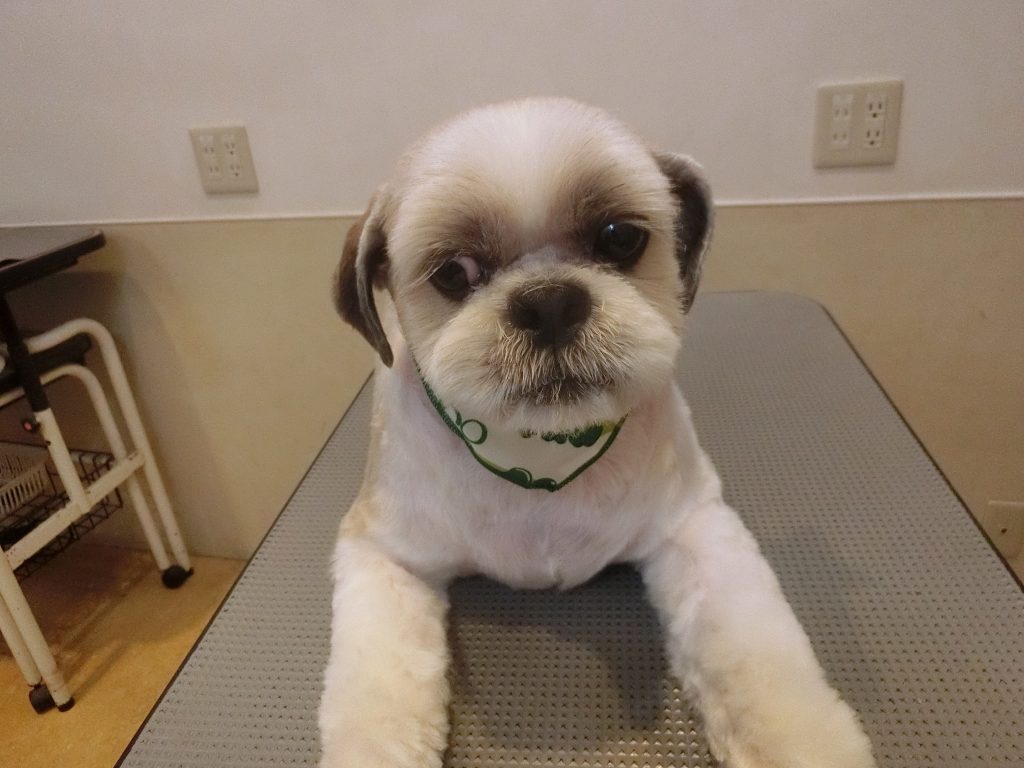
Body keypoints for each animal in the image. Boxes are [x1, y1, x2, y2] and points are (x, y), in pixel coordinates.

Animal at [320, 98, 876, 768]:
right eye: (453, 272)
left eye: (619, 237)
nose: (549, 302)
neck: (541, 459)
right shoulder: (383, 551)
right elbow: (376, 691)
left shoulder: (693, 524)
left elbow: (759, 661)